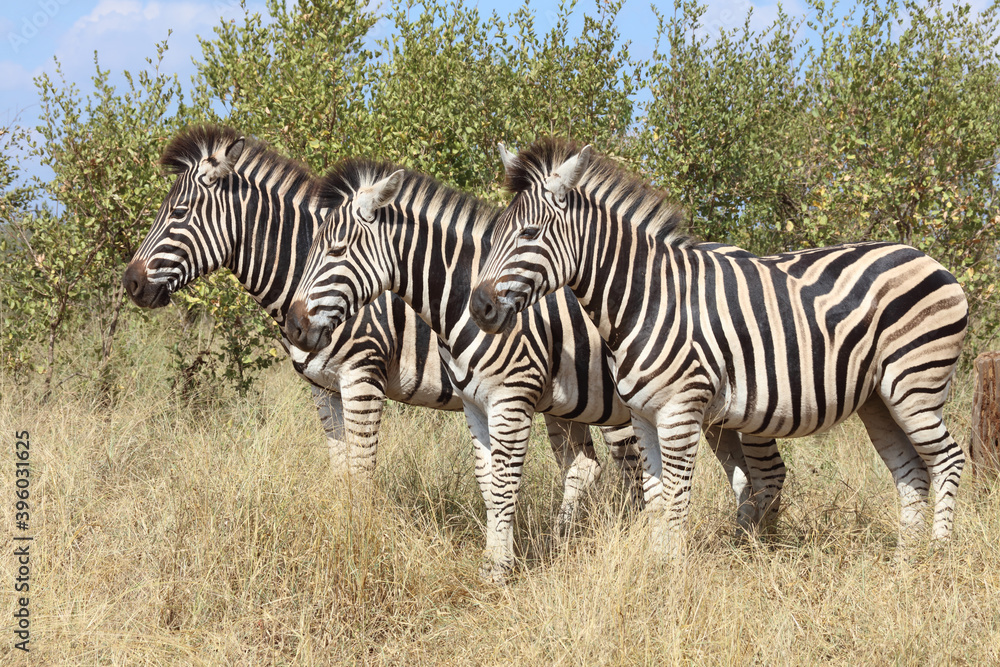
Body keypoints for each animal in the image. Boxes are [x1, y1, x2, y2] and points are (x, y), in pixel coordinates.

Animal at [121, 125, 626, 512]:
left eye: (178, 212)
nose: (130, 283)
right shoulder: (323, 389)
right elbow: (341, 468)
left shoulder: (362, 376)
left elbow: (363, 472)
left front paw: (361, 543)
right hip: (562, 400)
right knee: (584, 467)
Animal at [283, 159, 786, 582]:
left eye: (336, 249)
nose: (294, 326)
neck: (458, 304)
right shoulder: (473, 404)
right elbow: (487, 484)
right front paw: (492, 559)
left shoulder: (506, 397)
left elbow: (502, 485)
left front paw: (500, 570)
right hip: (709, 415)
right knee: (738, 477)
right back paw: (743, 546)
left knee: (763, 473)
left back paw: (757, 551)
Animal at [469, 138, 968, 556]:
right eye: (495, 235)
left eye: (529, 233)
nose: (478, 307)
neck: (646, 299)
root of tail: (928, 259)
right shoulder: (643, 415)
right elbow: (655, 498)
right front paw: (657, 567)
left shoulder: (680, 412)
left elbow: (676, 500)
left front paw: (671, 575)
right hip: (878, 400)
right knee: (911, 472)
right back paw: (905, 561)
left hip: (915, 385)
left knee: (947, 459)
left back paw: (937, 556)